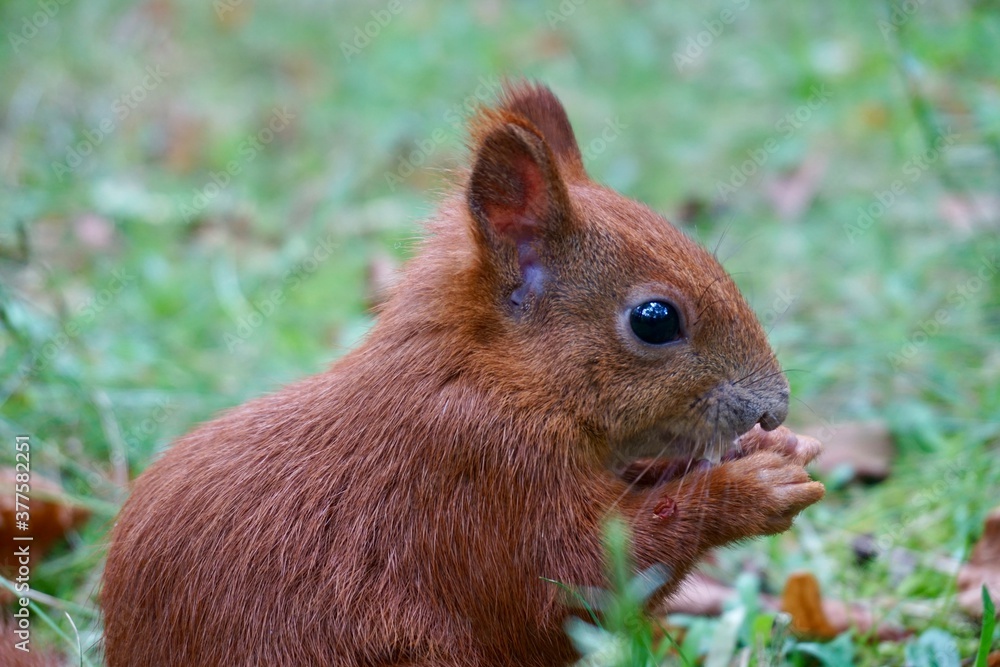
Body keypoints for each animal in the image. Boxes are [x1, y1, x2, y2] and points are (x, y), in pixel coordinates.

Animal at [101, 81, 824, 666]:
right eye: (654, 319)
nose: (776, 407)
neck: (494, 377)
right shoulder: (477, 473)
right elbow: (572, 584)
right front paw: (753, 486)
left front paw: (775, 449)